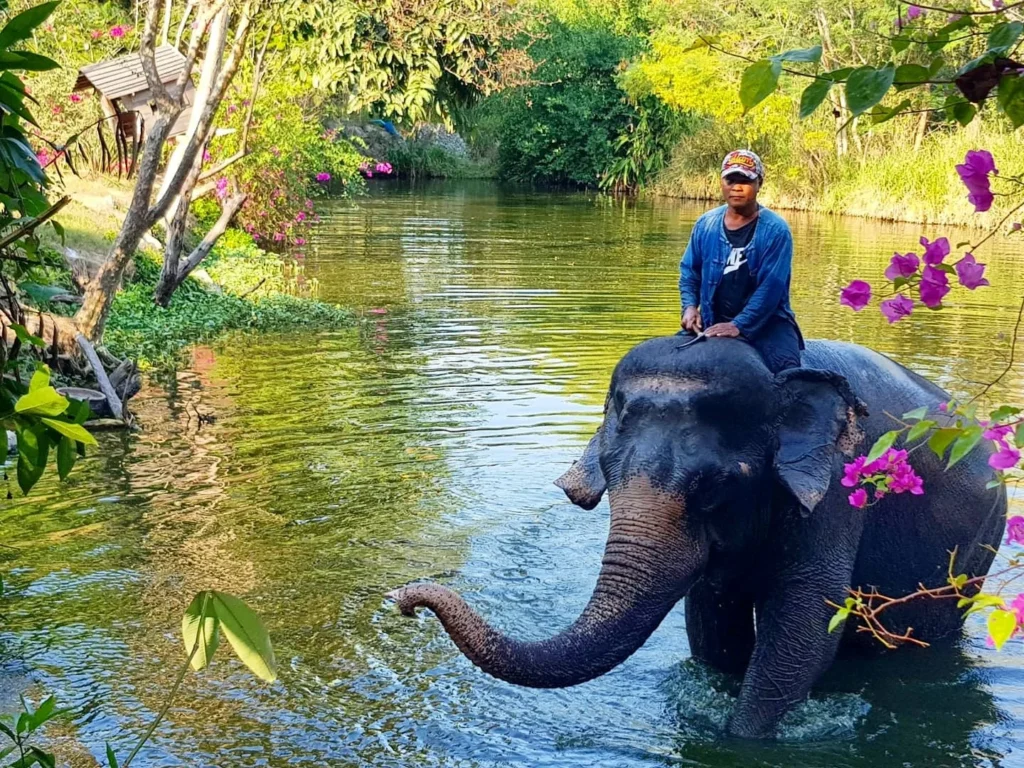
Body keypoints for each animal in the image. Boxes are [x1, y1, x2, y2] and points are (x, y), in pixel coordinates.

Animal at [389, 336, 1007, 738]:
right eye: (607, 473)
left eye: (714, 486)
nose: (406, 600)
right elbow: (711, 618)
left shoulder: (833, 491)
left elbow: (804, 624)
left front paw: (739, 738)